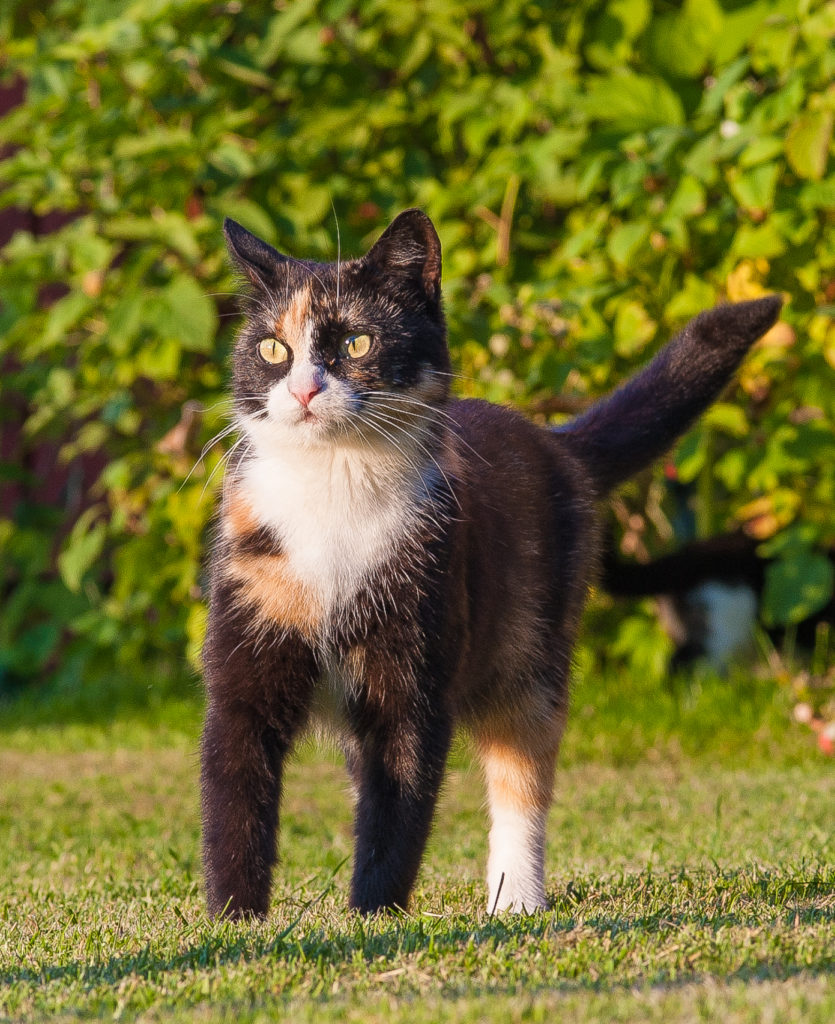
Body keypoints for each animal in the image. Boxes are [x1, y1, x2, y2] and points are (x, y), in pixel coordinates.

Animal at [202, 209, 782, 921]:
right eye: (272, 350)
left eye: (359, 344)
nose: (306, 388)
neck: (333, 489)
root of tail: (555, 443)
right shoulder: (247, 635)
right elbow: (236, 793)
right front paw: (236, 922)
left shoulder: (417, 660)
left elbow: (400, 802)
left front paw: (374, 917)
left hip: (533, 646)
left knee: (522, 768)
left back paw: (516, 900)